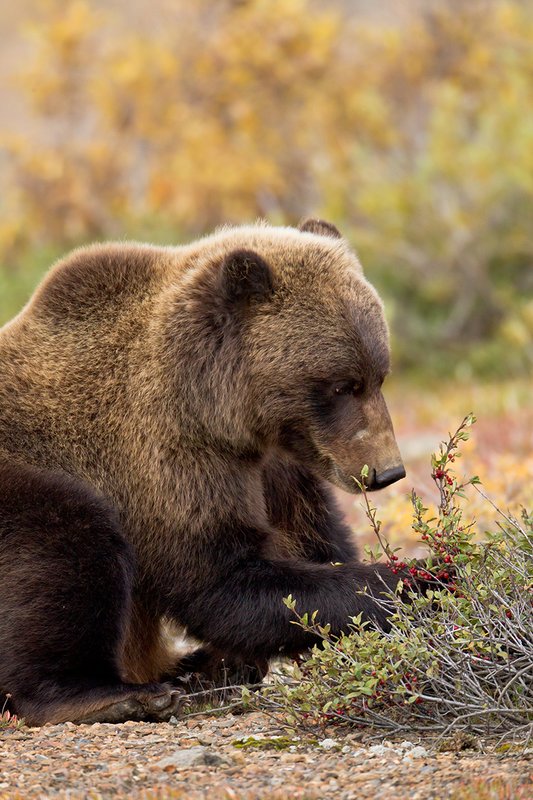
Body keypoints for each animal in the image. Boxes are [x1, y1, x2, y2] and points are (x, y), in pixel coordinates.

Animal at [0, 218, 407, 726]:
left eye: (378, 376)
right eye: (341, 385)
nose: (387, 471)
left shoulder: (279, 465)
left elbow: (314, 540)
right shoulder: (167, 453)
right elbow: (219, 578)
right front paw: (421, 579)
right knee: (66, 543)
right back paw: (119, 695)